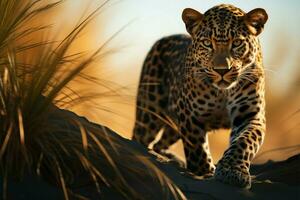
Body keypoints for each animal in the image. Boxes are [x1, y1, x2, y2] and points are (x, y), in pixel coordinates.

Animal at [132, 4, 268, 189]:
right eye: (207, 43)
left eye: (237, 43)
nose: (221, 70)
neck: (222, 92)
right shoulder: (190, 115)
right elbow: (197, 150)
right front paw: (206, 172)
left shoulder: (250, 115)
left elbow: (244, 142)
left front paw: (233, 172)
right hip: (149, 114)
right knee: (140, 139)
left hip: (173, 125)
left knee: (160, 143)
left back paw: (172, 159)